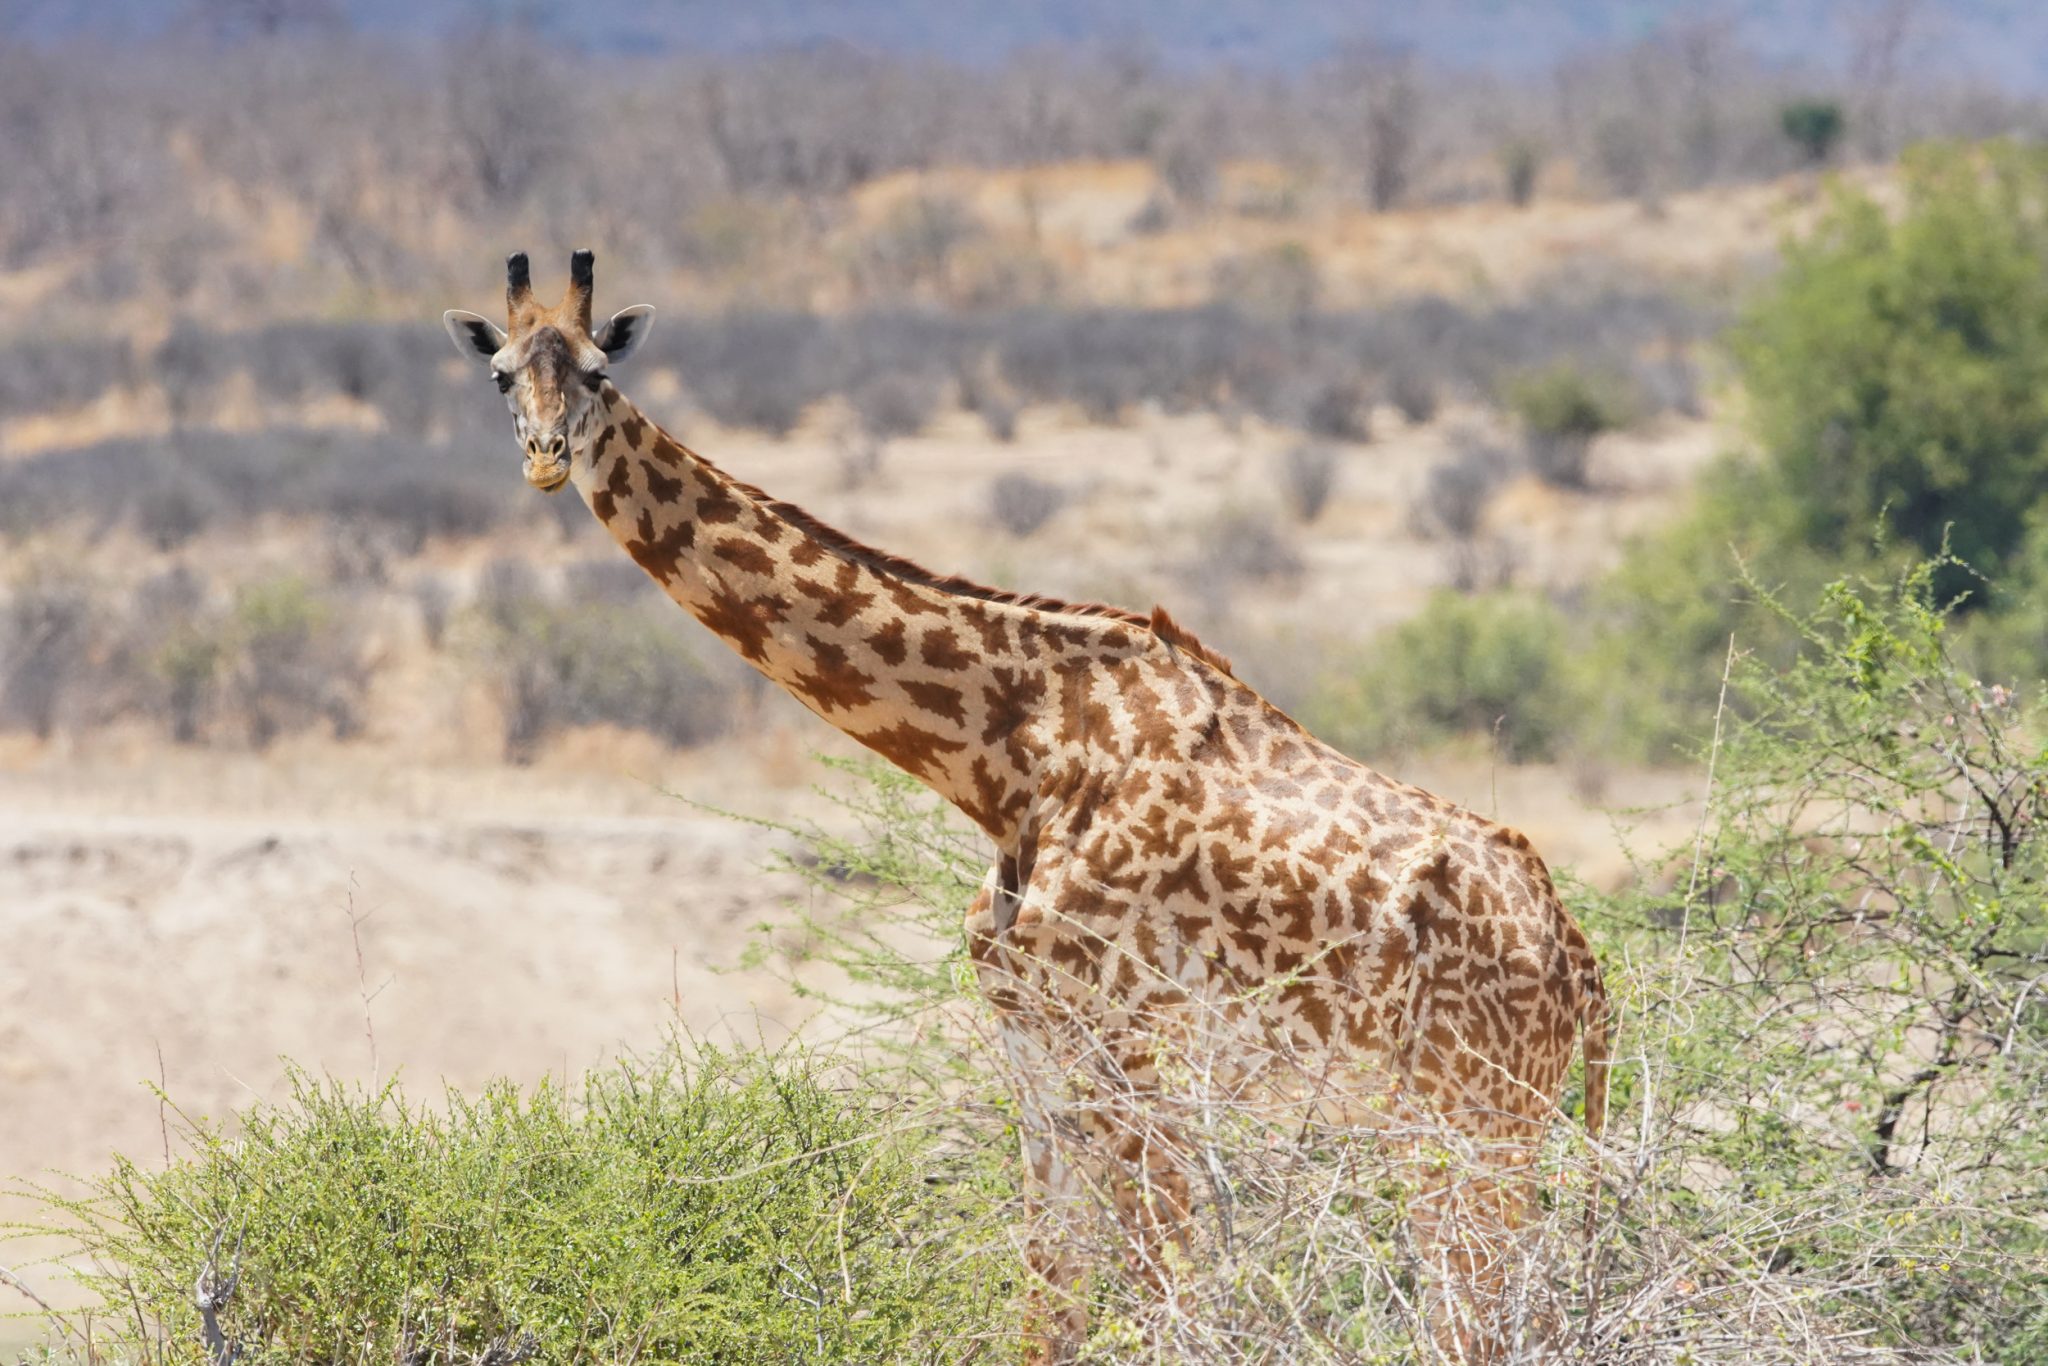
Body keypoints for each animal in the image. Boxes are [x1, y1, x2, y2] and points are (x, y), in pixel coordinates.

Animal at [444, 251, 1611, 1362]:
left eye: (599, 372)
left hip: (1475, 1120)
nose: (546, 455)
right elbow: (1048, 1307)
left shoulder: (1130, 1043)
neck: (1008, 757)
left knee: (1494, 1315)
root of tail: (1582, 967)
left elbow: (1170, 1301)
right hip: (1465, 1125)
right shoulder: (1036, 1050)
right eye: (499, 372)